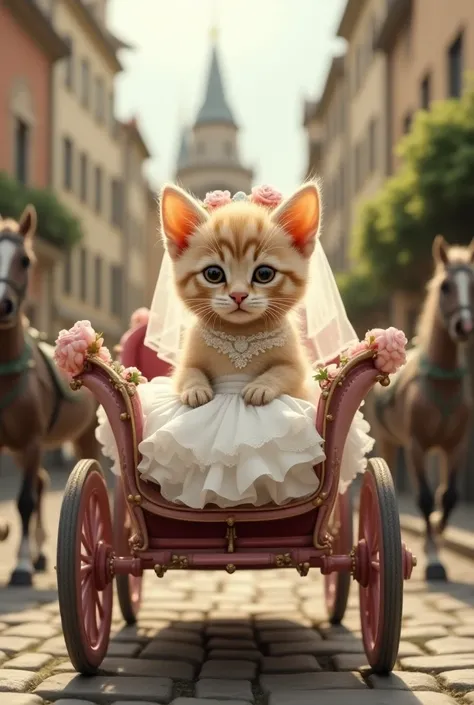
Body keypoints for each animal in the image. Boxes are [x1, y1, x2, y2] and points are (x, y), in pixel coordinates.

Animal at [0, 206, 100, 584]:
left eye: (25, 260)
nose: (3, 305)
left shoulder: (30, 441)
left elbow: (24, 502)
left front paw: (21, 566)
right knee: (42, 482)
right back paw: (41, 553)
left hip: (84, 437)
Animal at [160, 183, 322, 408]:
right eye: (213, 274)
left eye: (264, 274)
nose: (238, 295)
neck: (240, 334)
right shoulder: (184, 365)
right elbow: (188, 372)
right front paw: (195, 389)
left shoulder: (299, 372)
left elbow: (284, 372)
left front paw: (260, 386)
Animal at [370, 235, 474, 576]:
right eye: (446, 286)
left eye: (473, 283)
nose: (464, 326)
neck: (442, 379)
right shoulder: (416, 444)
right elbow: (427, 498)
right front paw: (433, 558)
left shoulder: (456, 445)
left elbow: (449, 496)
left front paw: (439, 535)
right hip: (389, 441)